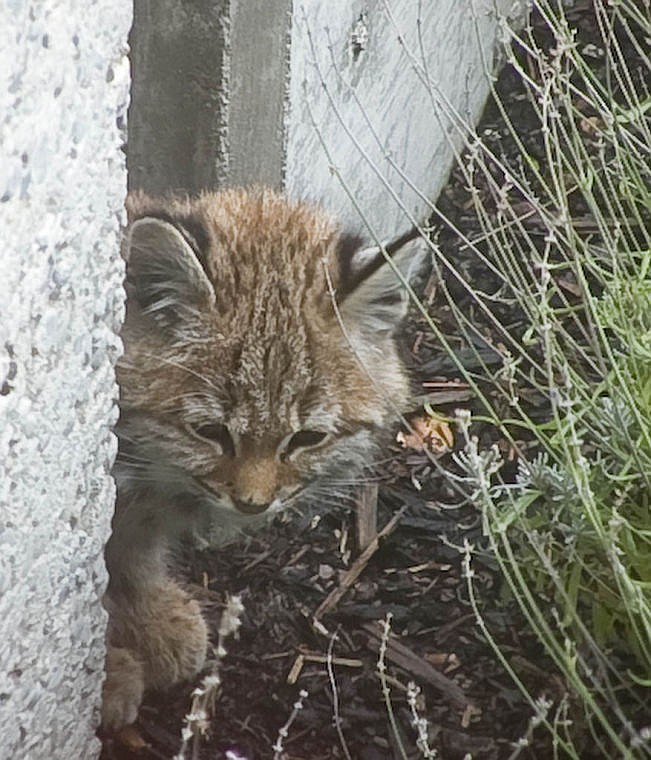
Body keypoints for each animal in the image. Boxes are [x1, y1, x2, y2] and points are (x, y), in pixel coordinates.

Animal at [102, 187, 426, 728]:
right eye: (210, 433)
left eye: (306, 439)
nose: (253, 504)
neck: (149, 467)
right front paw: (104, 675)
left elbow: (129, 556)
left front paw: (148, 619)